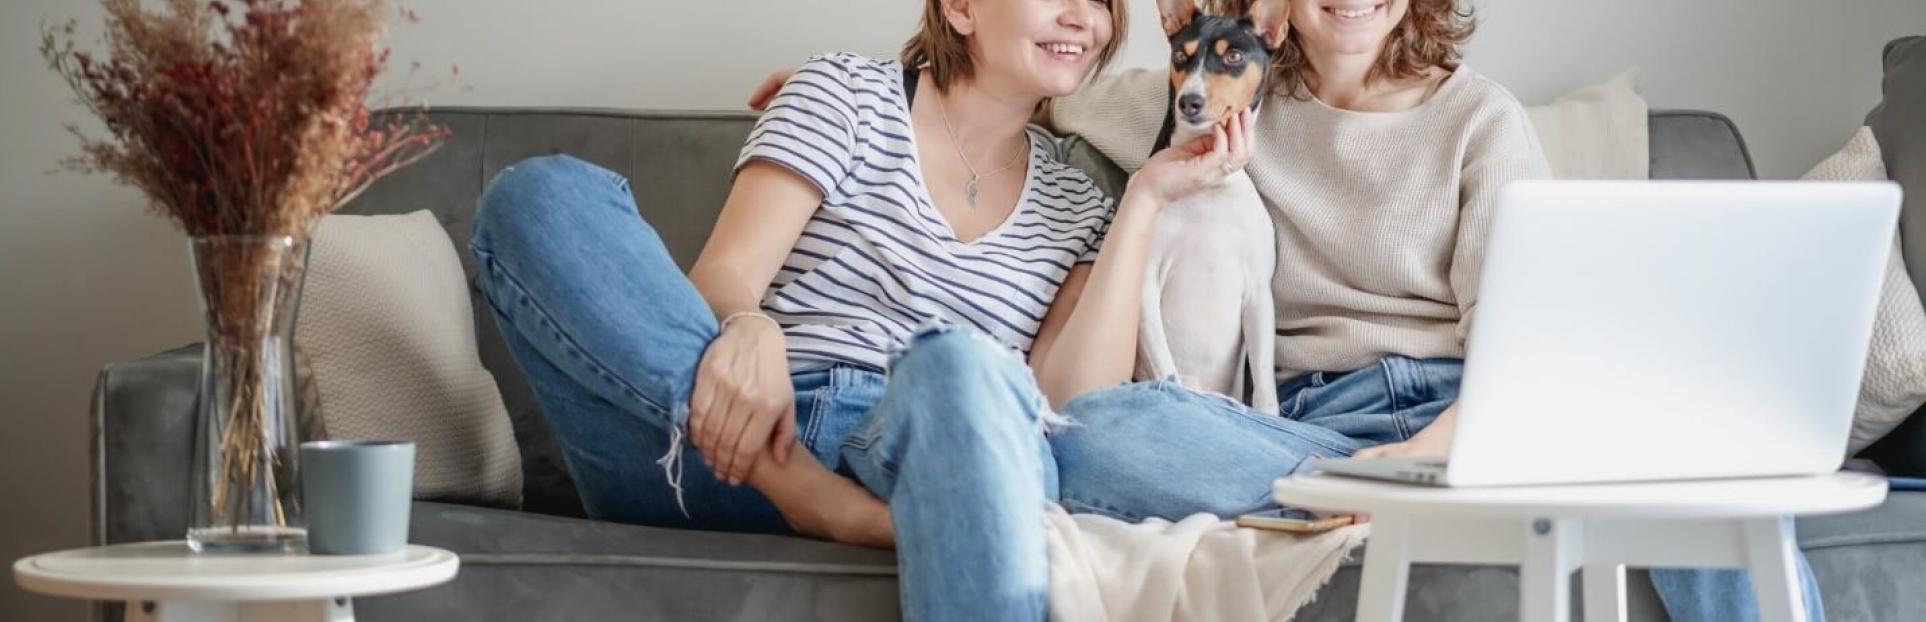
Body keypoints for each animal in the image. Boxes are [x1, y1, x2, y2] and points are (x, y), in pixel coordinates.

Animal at [1132, 0, 1286, 414]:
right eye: (1180, 57)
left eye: (1233, 56)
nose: (1189, 101)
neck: (1210, 191)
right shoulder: (1145, 286)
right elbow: (1167, 369)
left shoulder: (1259, 294)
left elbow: (1264, 387)